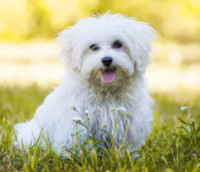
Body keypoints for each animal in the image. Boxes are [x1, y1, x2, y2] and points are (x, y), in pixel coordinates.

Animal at [14, 12, 155, 154]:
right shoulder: (75, 120)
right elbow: (74, 140)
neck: (106, 90)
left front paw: (123, 155)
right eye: (93, 47)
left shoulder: (129, 123)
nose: (107, 60)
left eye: (118, 44)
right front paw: (71, 155)